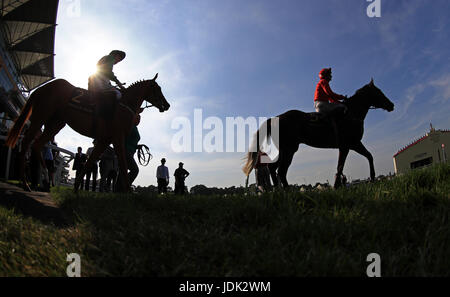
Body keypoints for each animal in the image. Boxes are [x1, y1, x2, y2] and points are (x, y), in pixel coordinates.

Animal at [5, 74, 171, 192]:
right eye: (157, 89)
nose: (167, 105)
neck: (124, 104)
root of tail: (44, 87)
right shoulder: (118, 138)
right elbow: (123, 164)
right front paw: (129, 192)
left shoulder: (105, 140)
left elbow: (91, 161)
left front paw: (76, 187)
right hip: (41, 116)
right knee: (27, 142)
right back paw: (26, 182)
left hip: (55, 123)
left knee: (38, 144)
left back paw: (46, 178)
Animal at [244, 79, 396, 187]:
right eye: (379, 92)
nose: (392, 105)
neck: (351, 113)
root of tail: (276, 118)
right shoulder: (349, 145)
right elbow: (344, 164)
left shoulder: (352, 145)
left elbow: (365, 157)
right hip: (289, 150)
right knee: (280, 171)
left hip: (285, 150)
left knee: (273, 168)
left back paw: (279, 190)